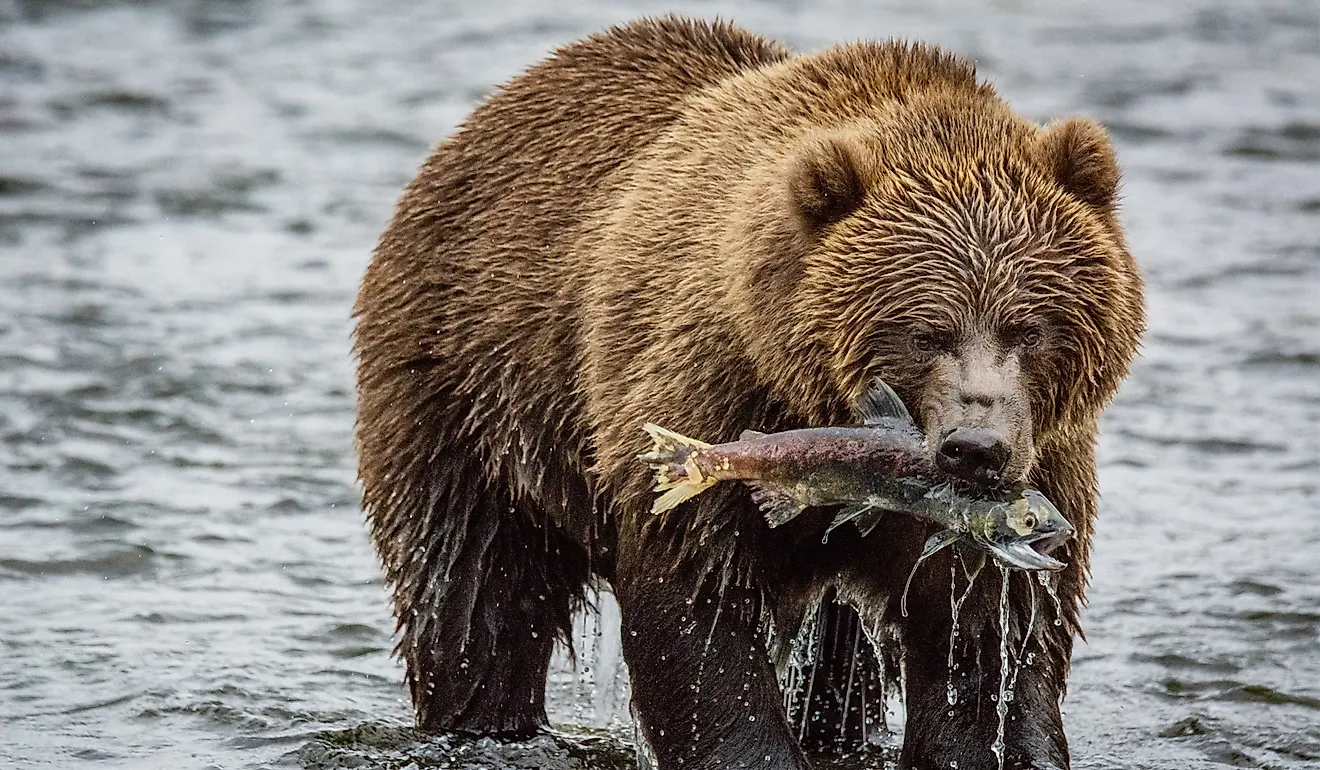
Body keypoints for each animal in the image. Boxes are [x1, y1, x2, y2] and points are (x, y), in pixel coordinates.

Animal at [352, 16, 1145, 770]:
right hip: (472, 395)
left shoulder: (1040, 469)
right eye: (927, 332)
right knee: (474, 591)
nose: (975, 449)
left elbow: (983, 636)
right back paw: (484, 720)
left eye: (1029, 328)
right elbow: (699, 605)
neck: (812, 395)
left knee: (839, 664)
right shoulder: (709, 391)